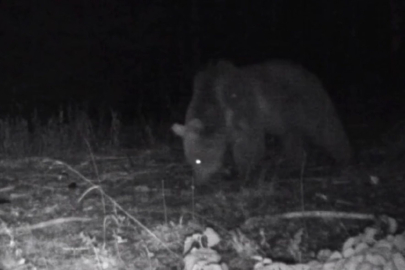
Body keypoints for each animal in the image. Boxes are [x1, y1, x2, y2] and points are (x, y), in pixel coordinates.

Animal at [172, 60, 352, 185]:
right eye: (190, 160)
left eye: (199, 160)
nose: (198, 183)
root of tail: (311, 74)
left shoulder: (243, 110)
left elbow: (249, 144)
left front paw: (244, 174)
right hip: (286, 119)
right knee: (292, 139)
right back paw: (293, 166)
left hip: (307, 103)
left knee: (326, 128)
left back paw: (344, 160)